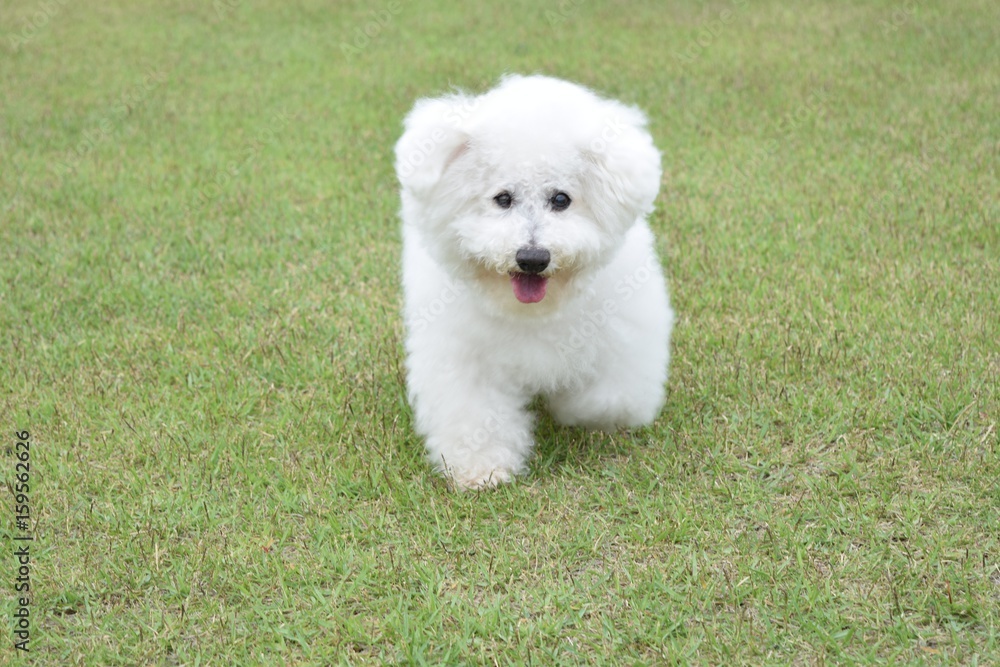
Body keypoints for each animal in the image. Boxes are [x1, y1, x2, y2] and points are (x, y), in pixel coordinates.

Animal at [394, 74, 676, 490]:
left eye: (561, 199)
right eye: (502, 198)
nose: (532, 258)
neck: (534, 311)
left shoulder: (624, 343)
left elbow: (606, 399)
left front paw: (573, 407)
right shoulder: (464, 360)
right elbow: (475, 415)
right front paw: (483, 469)